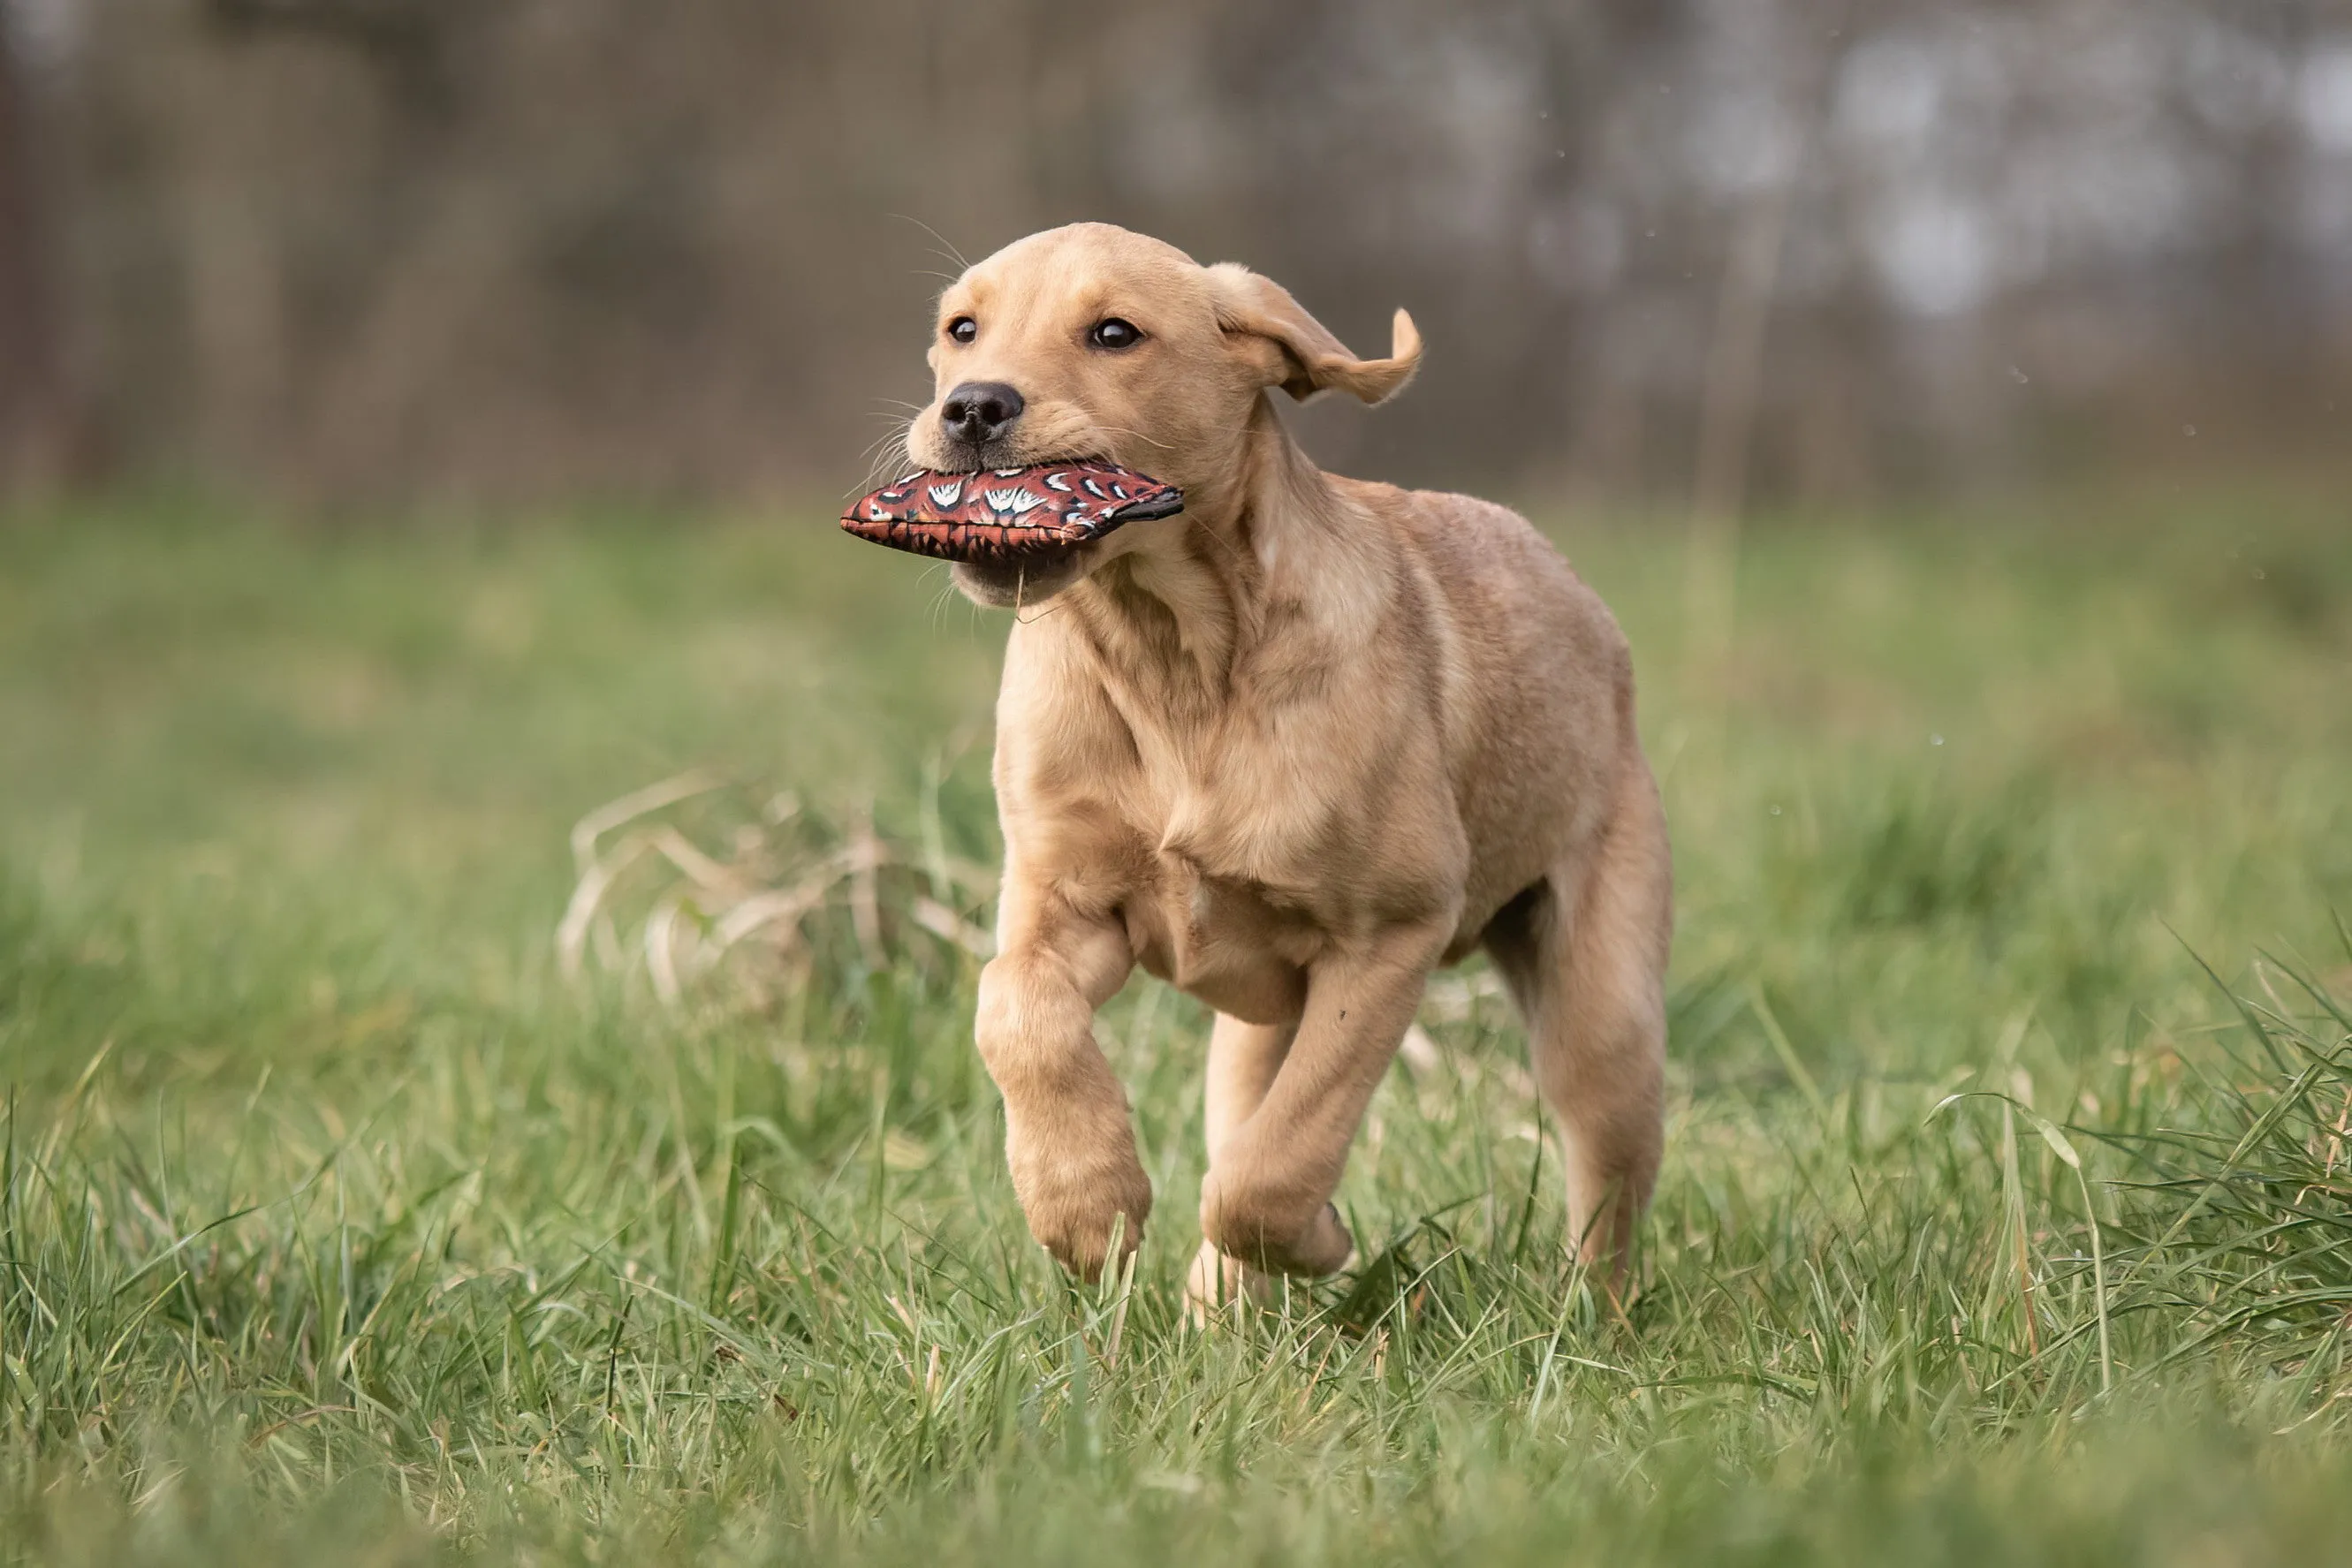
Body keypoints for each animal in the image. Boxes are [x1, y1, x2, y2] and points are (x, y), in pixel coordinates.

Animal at [898, 215, 1674, 1307]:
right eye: (961, 330)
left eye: (1113, 334)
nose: (970, 406)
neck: (1170, 655)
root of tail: (1579, 596)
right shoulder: (1062, 899)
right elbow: (1014, 1007)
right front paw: (1084, 1208)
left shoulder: (1389, 936)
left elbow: (1275, 1166)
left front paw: (1315, 1238)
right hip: (1254, 1029)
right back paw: (1214, 1309)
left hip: (1601, 1008)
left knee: (1604, 1181)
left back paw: (1586, 1317)